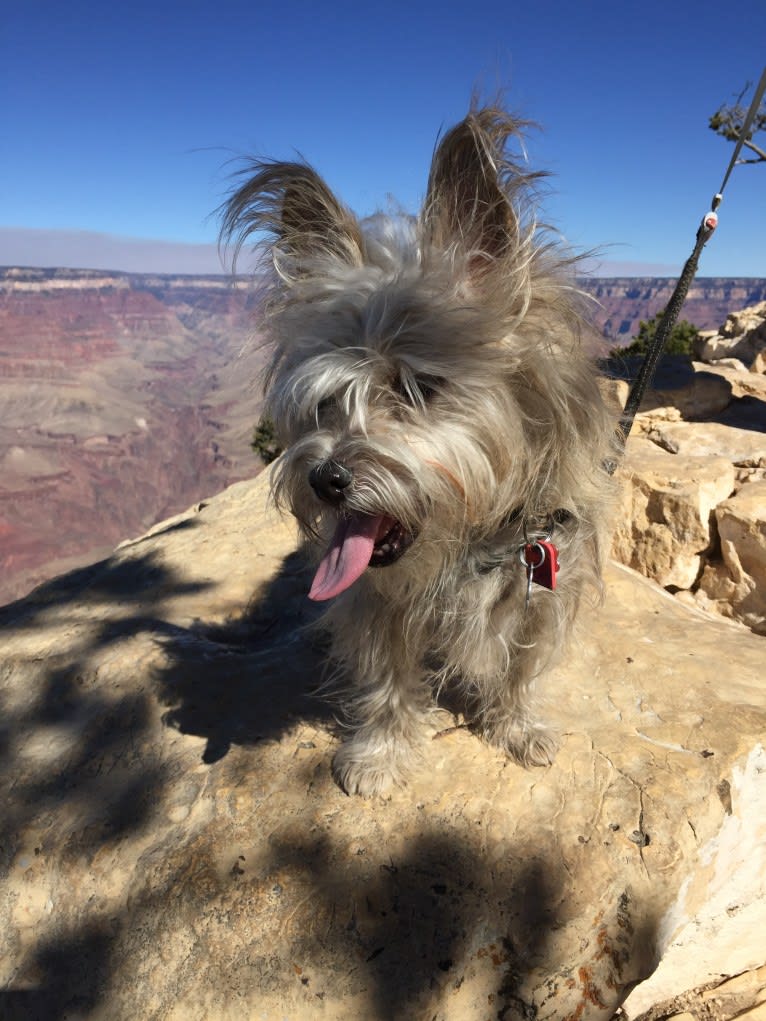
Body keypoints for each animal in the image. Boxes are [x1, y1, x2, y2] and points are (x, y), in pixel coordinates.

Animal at [220, 105, 616, 796]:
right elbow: (386, 680)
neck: (473, 545)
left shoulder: (546, 585)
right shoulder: (376, 602)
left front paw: (517, 726)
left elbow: (521, 665)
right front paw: (379, 754)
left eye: (416, 386)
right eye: (326, 402)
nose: (325, 480)